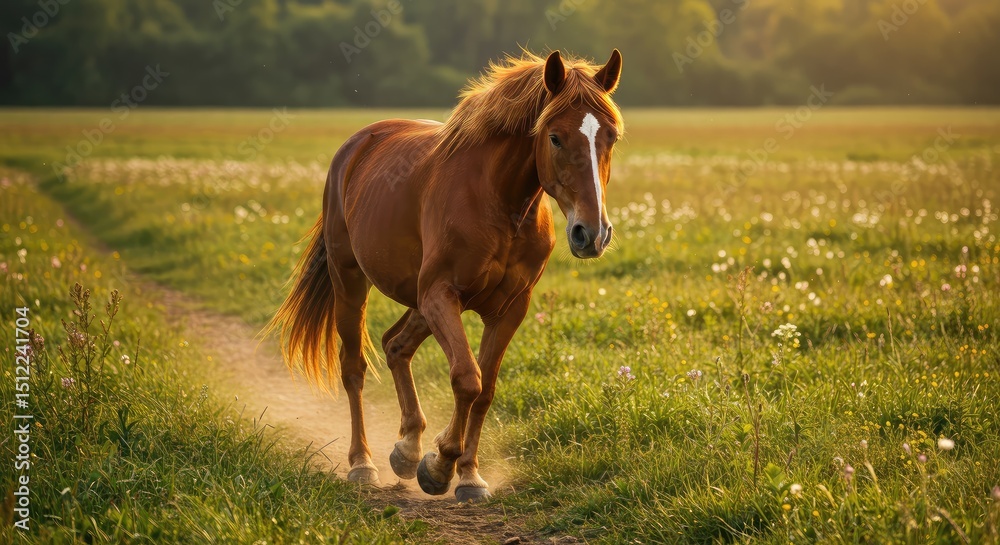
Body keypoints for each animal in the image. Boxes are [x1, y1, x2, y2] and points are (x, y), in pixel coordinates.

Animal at [267, 49, 624, 502]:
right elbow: (467, 379)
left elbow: (485, 390)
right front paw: (438, 467)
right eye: (555, 137)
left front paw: (468, 475)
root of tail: (357, 145)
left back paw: (405, 448)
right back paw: (363, 463)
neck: (498, 200)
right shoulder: (440, 294)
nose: (591, 233)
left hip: (417, 301)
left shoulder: (510, 308)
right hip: (352, 283)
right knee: (354, 368)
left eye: (611, 137)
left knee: (396, 345)